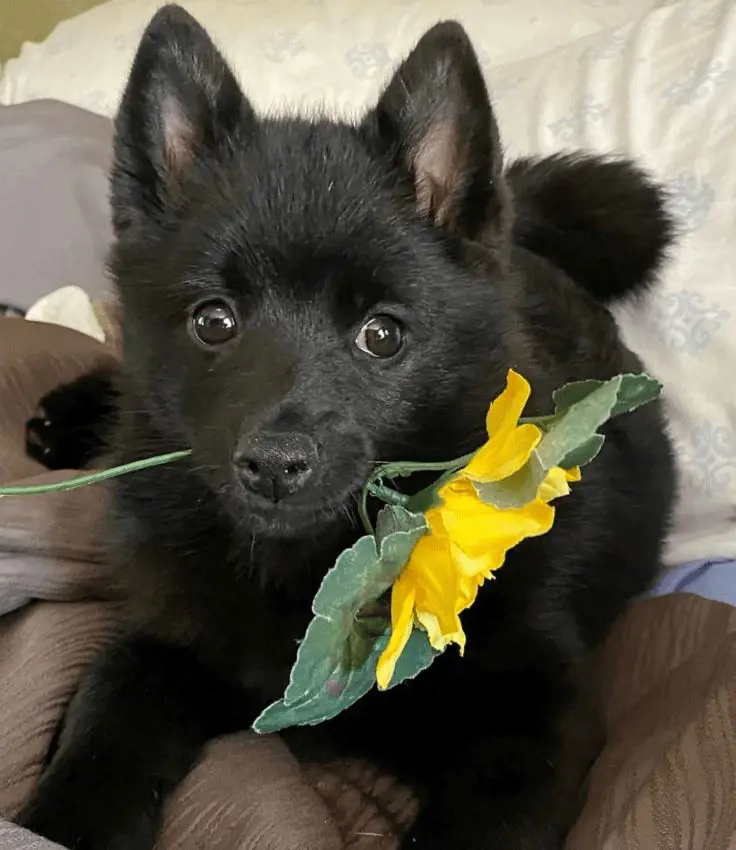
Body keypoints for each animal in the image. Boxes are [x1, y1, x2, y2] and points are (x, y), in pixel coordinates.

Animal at [17, 6, 676, 848]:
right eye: (213, 321)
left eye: (382, 335)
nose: (273, 464)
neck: (313, 568)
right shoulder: (170, 643)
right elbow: (104, 717)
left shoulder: (532, 716)